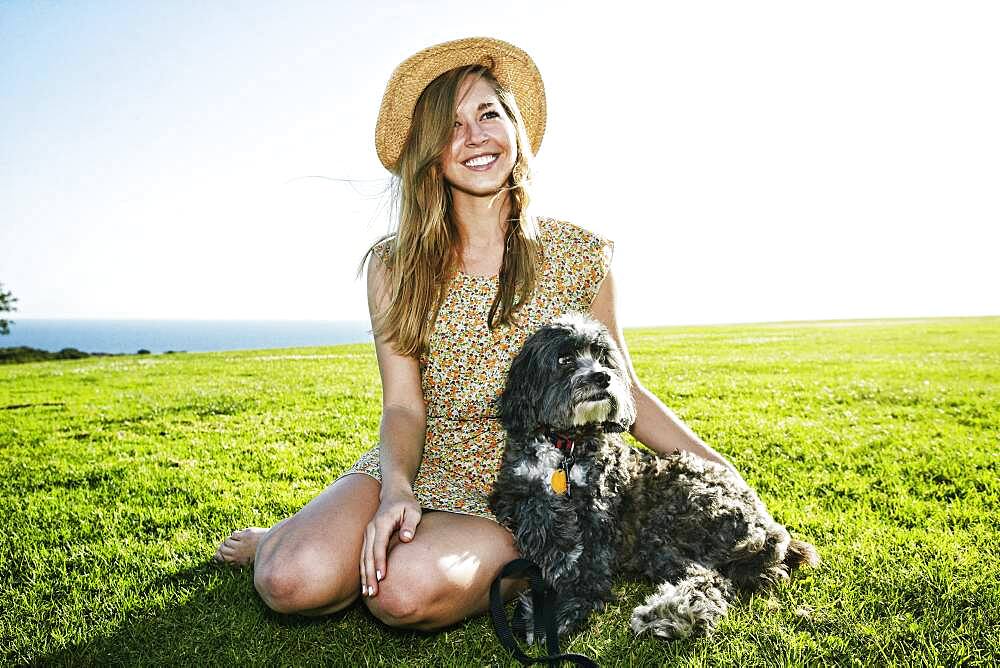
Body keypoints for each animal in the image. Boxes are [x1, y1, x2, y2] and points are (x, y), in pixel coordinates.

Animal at [486, 314, 820, 640]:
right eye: (564, 358)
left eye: (602, 356)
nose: (603, 377)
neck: (565, 446)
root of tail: (767, 528)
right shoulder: (526, 501)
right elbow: (553, 546)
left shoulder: (598, 516)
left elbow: (585, 567)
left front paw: (561, 610)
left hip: (665, 519)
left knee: (710, 579)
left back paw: (667, 616)